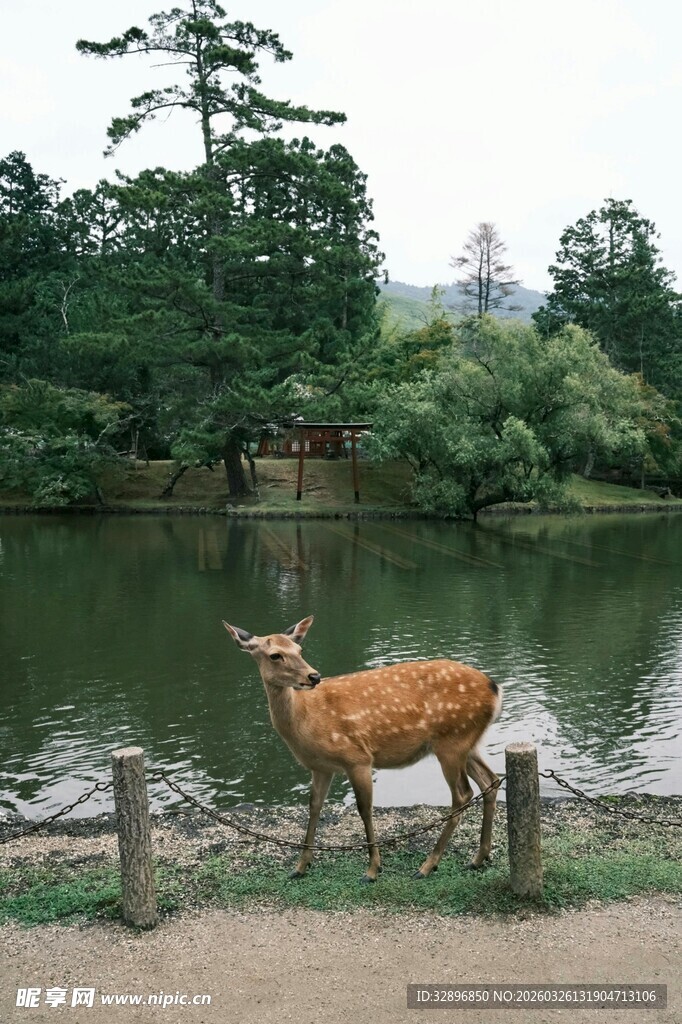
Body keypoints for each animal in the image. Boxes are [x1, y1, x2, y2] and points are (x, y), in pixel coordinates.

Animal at [223, 615, 502, 883]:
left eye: (300, 649)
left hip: (452, 741)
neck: (306, 720)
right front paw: (300, 867)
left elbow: (364, 809)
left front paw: (372, 870)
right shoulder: (320, 767)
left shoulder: (357, 757)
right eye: (275, 655)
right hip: (466, 743)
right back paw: (478, 858)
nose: (313, 676)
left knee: (463, 794)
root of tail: (495, 689)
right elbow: (314, 808)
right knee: (490, 780)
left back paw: (427, 866)